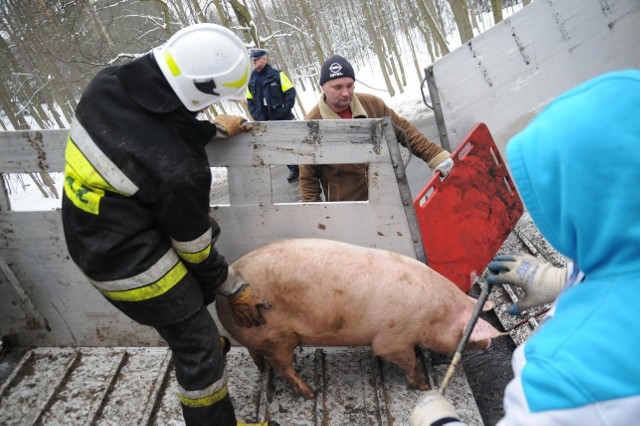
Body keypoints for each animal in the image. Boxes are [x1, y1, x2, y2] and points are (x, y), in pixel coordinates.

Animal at [218, 238, 502, 398]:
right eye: (471, 332)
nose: (490, 344)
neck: (436, 315)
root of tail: (221, 301)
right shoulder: (393, 337)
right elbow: (405, 360)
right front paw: (422, 386)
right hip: (277, 335)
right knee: (281, 365)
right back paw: (310, 393)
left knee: (261, 358)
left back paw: (265, 370)